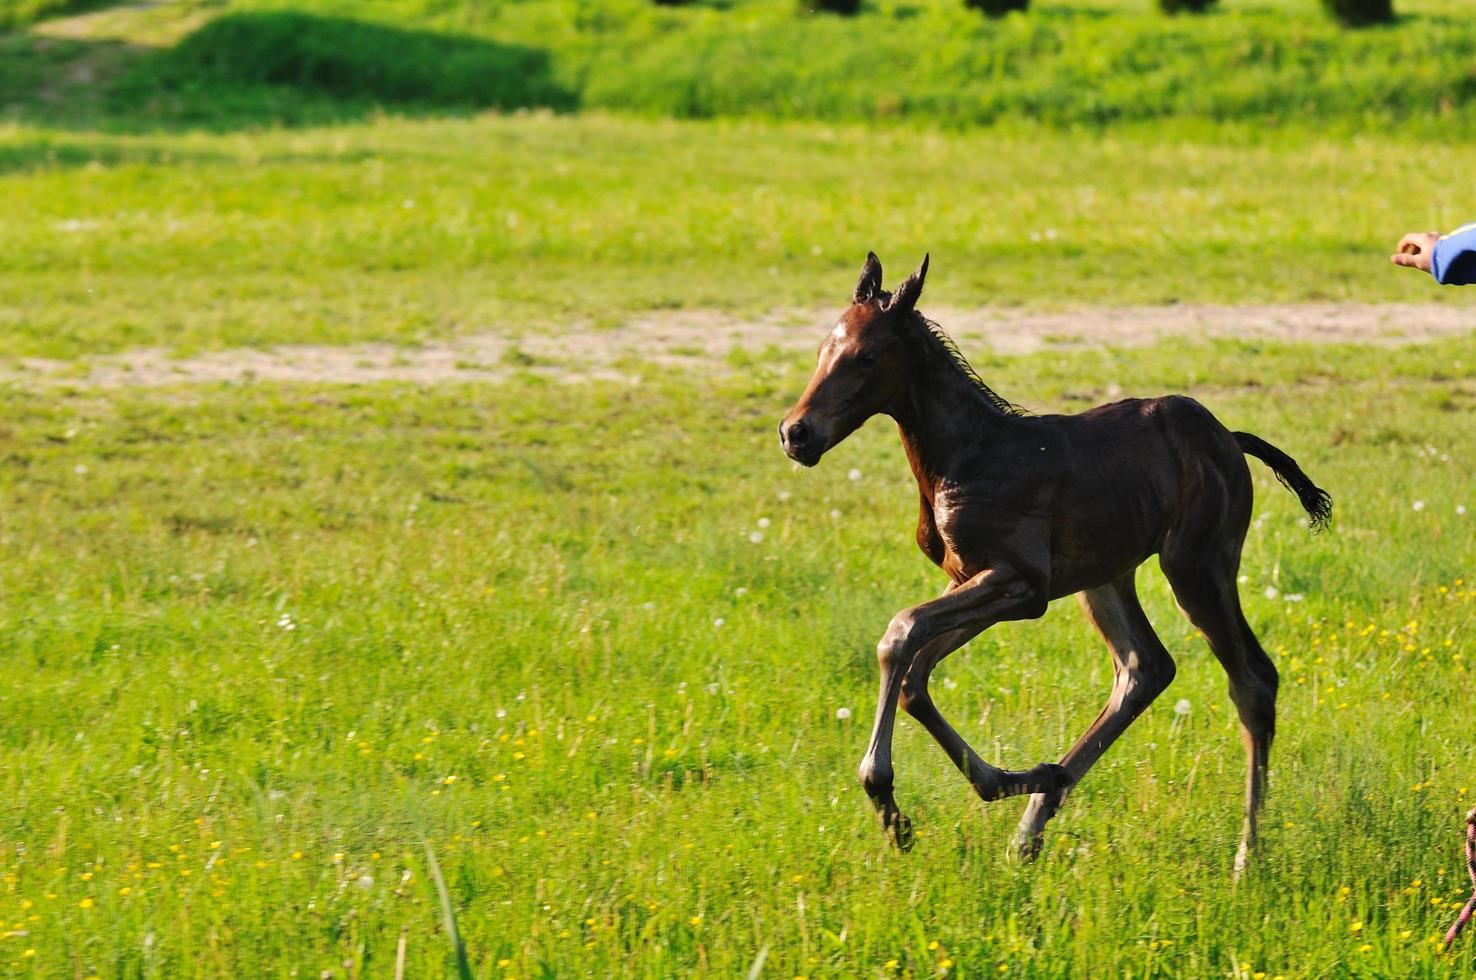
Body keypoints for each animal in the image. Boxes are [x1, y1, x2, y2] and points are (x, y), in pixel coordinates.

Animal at [779, 253, 1334, 873]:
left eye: (868, 356)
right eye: (823, 348)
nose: (796, 433)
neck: (965, 455)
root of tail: (1229, 440)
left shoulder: (1023, 584)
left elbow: (900, 634)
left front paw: (885, 794)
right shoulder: (978, 581)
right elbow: (914, 675)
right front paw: (961, 797)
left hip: (1197, 564)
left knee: (1251, 681)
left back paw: (1245, 857)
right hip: (1107, 578)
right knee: (1144, 668)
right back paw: (1033, 822)